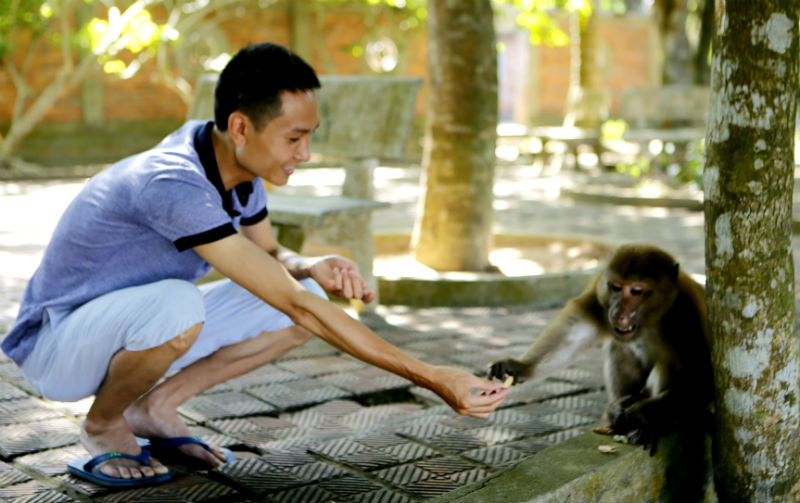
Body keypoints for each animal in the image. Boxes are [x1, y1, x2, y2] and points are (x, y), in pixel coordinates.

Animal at [488, 244, 712, 452]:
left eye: (637, 291)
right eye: (616, 287)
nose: (618, 313)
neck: (652, 321)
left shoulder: (689, 314)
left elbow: (701, 382)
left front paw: (638, 415)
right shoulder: (599, 291)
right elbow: (572, 336)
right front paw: (519, 367)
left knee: (668, 366)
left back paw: (645, 424)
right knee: (618, 346)